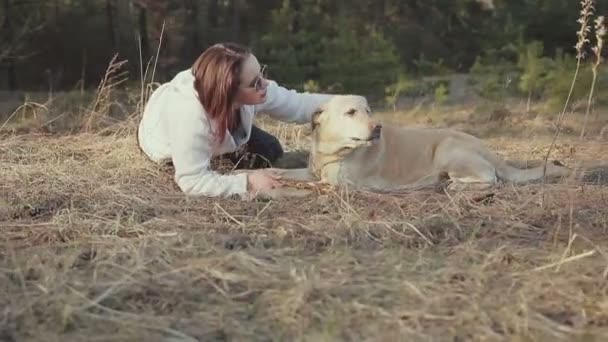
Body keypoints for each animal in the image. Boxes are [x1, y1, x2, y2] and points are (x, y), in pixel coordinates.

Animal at [274, 95, 572, 194]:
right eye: (351, 112)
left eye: (368, 111)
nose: (377, 127)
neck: (333, 150)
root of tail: (490, 151)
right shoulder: (312, 172)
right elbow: (286, 172)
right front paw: (270, 172)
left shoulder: (336, 184)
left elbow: (302, 182)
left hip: (448, 150)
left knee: (491, 179)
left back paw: (454, 185)